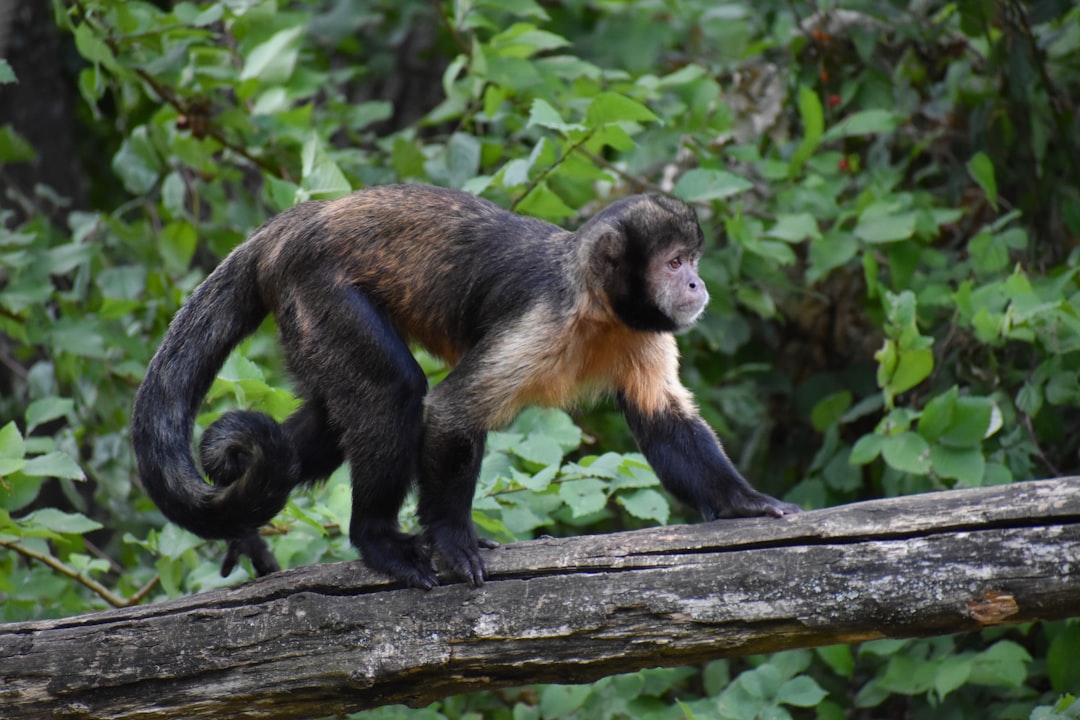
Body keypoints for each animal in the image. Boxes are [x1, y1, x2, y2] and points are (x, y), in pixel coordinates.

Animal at [128, 183, 803, 587]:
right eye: (674, 263)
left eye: (691, 261)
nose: (696, 285)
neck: (597, 306)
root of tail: (296, 223)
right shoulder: (545, 317)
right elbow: (453, 411)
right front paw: (452, 541)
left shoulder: (643, 331)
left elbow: (663, 418)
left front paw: (743, 502)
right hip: (315, 290)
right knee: (393, 394)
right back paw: (377, 540)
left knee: (324, 427)